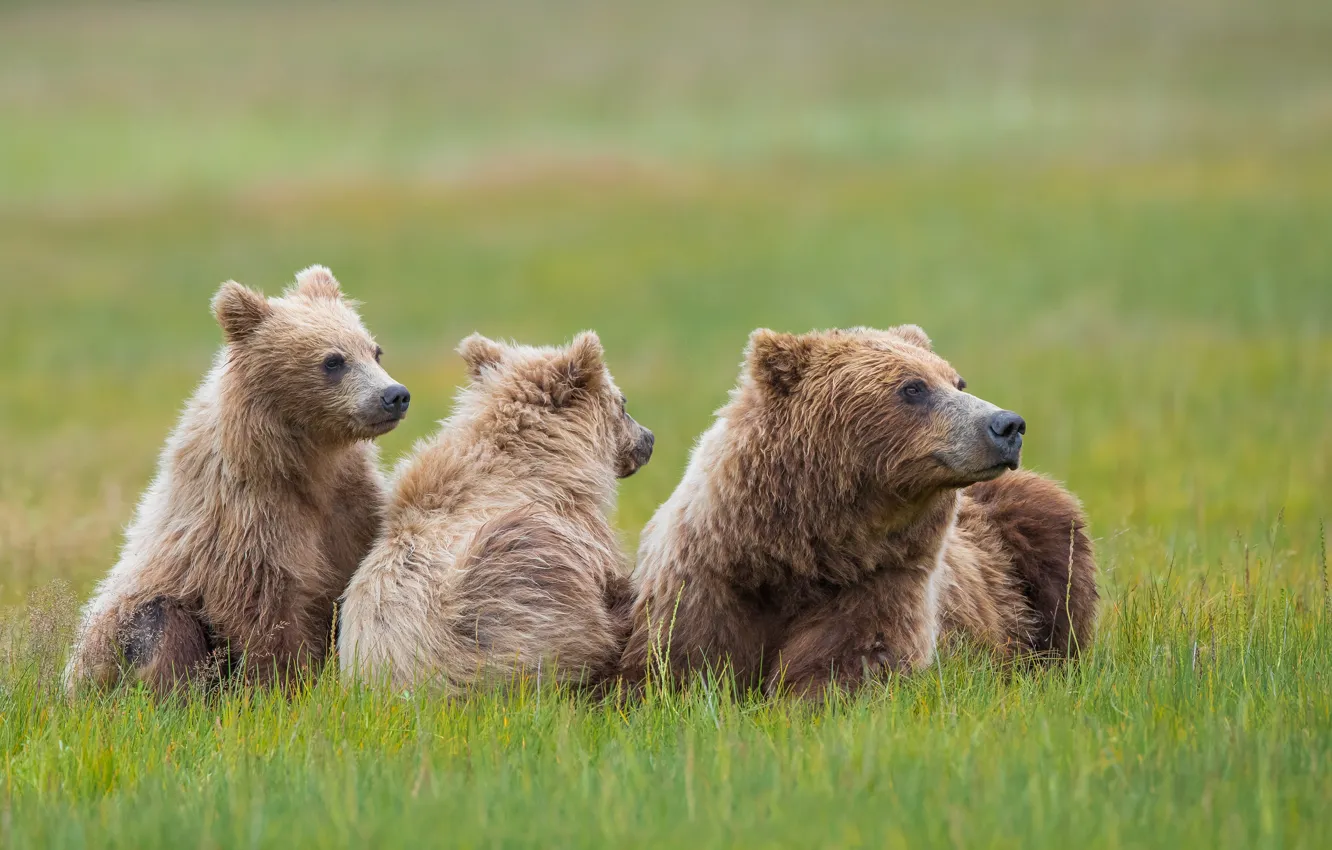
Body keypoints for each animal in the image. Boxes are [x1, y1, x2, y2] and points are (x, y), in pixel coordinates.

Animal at [63, 266, 410, 695]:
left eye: (374, 350)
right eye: (333, 361)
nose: (394, 395)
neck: (307, 463)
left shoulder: (348, 507)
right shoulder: (247, 519)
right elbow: (266, 610)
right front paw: (285, 686)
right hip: (116, 634)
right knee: (164, 627)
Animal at [619, 325, 1097, 697]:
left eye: (957, 381)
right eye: (913, 387)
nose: (1006, 425)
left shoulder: (882, 579)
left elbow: (851, 663)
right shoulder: (707, 582)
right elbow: (681, 666)